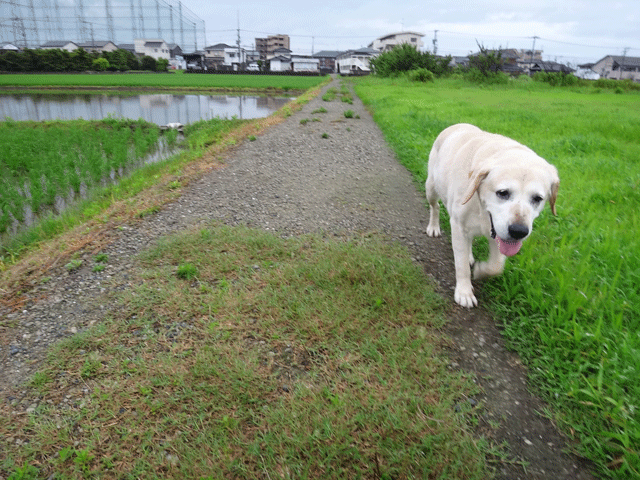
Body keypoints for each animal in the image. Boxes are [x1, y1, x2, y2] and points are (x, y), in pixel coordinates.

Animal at [428, 124, 556, 308]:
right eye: (502, 193)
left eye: (537, 198)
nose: (519, 231)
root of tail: (458, 124)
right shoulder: (458, 225)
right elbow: (461, 266)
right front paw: (464, 292)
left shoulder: (498, 235)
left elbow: (496, 266)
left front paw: (481, 270)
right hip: (431, 188)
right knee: (435, 206)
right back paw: (433, 227)